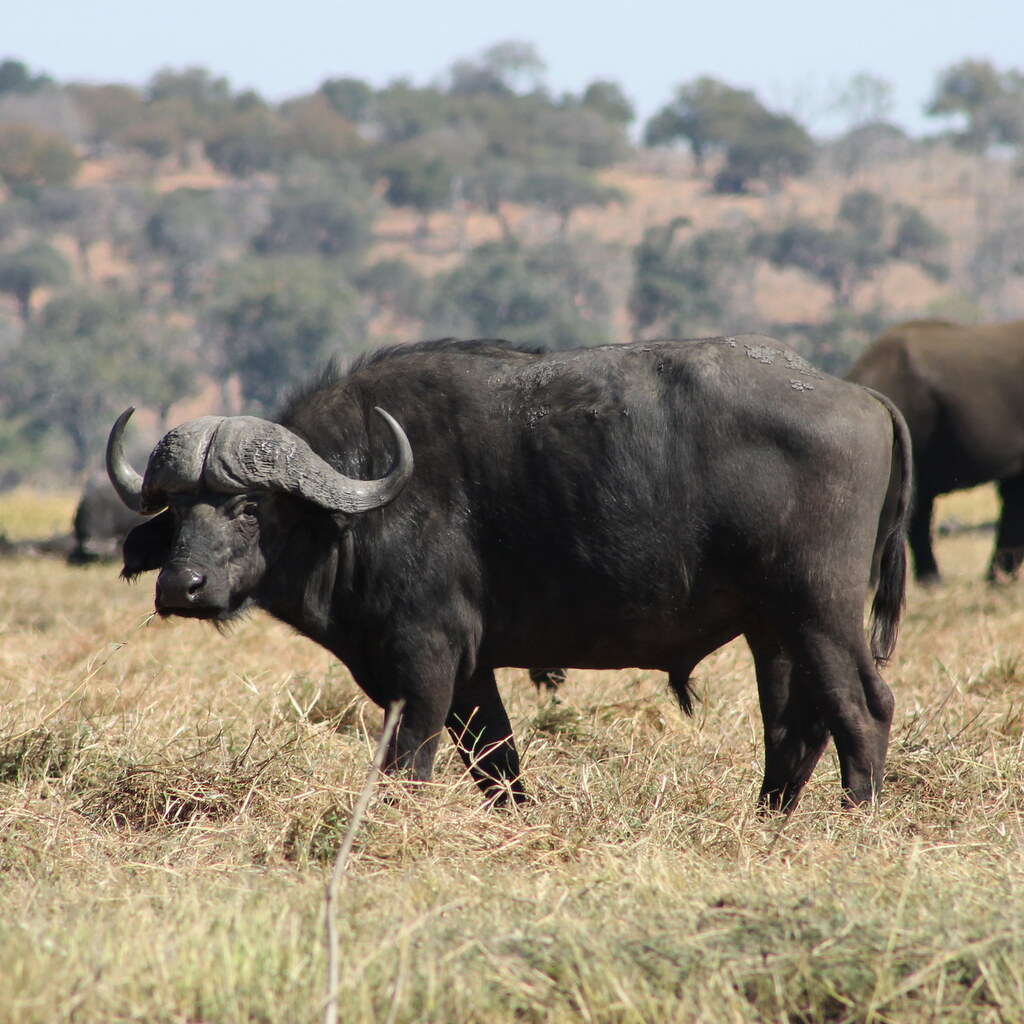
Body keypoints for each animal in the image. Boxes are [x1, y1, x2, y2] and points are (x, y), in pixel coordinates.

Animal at [108, 336, 910, 810]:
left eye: (246, 507)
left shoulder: (425, 662)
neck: (361, 501)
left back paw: (856, 814)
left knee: (862, 706)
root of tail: (861, 397)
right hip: (771, 628)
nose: (180, 587)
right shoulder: (471, 672)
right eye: (177, 509)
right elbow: (498, 765)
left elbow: (409, 765)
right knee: (794, 726)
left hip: (819, 609)